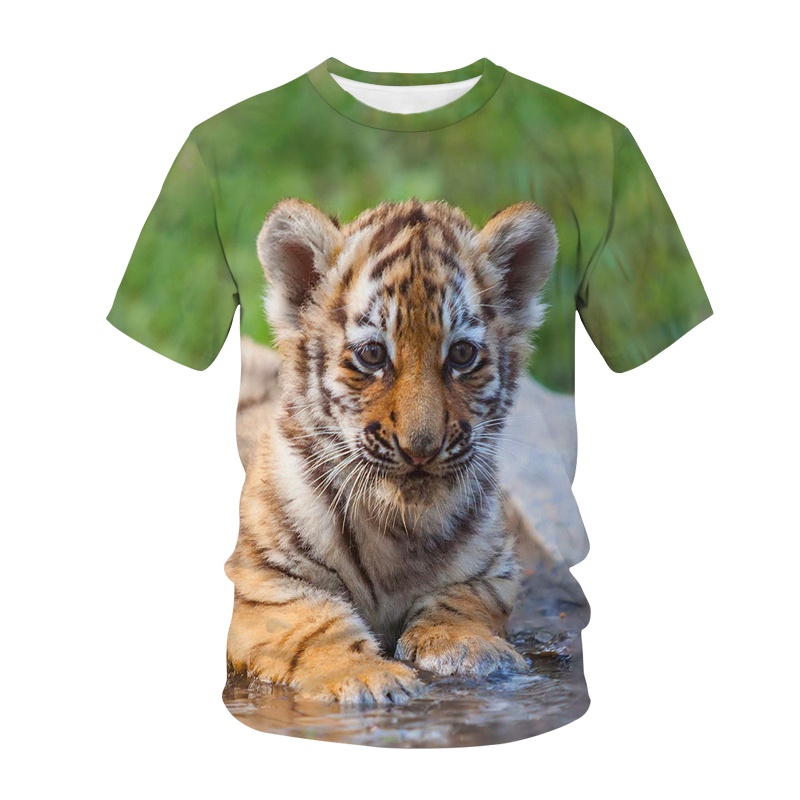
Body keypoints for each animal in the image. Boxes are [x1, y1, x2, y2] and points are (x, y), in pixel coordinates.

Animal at [225, 198, 558, 706]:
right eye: (372, 355)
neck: (396, 531)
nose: (421, 448)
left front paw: (473, 650)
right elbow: (315, 627)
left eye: (462, 355)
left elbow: (462, 599)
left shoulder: (493, 569)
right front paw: (367, 676)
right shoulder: (262, 581)